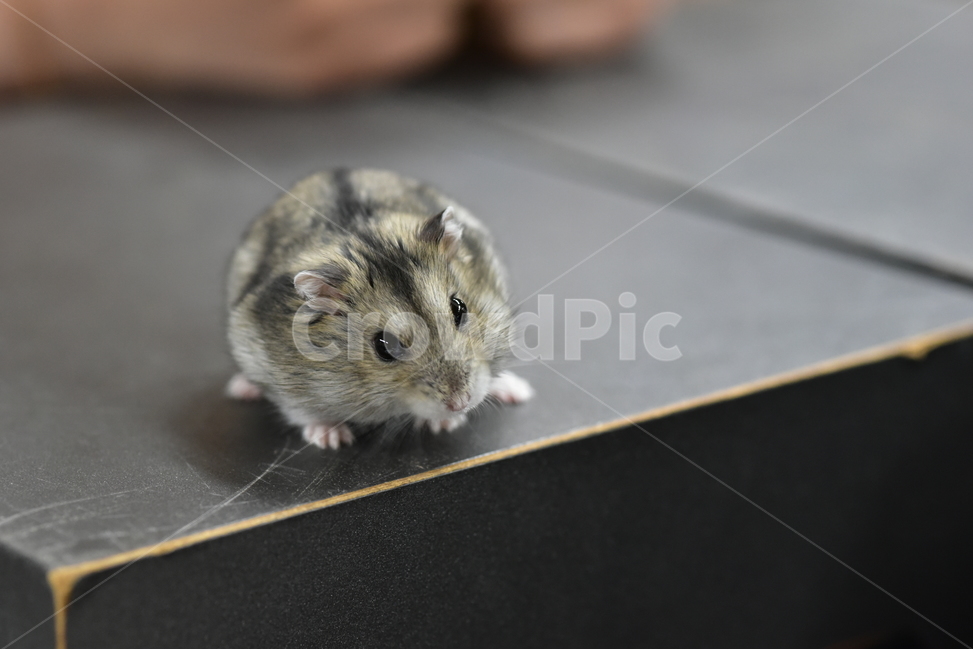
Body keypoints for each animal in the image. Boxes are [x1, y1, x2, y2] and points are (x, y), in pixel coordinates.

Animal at [225, 168, 534, 450]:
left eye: (460, 308)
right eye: (384, 346)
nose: (460, 403)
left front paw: (444, 424)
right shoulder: (277, 371)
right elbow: (304, 412)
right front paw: (332, 440)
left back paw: (517, 390)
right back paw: (240, 388)